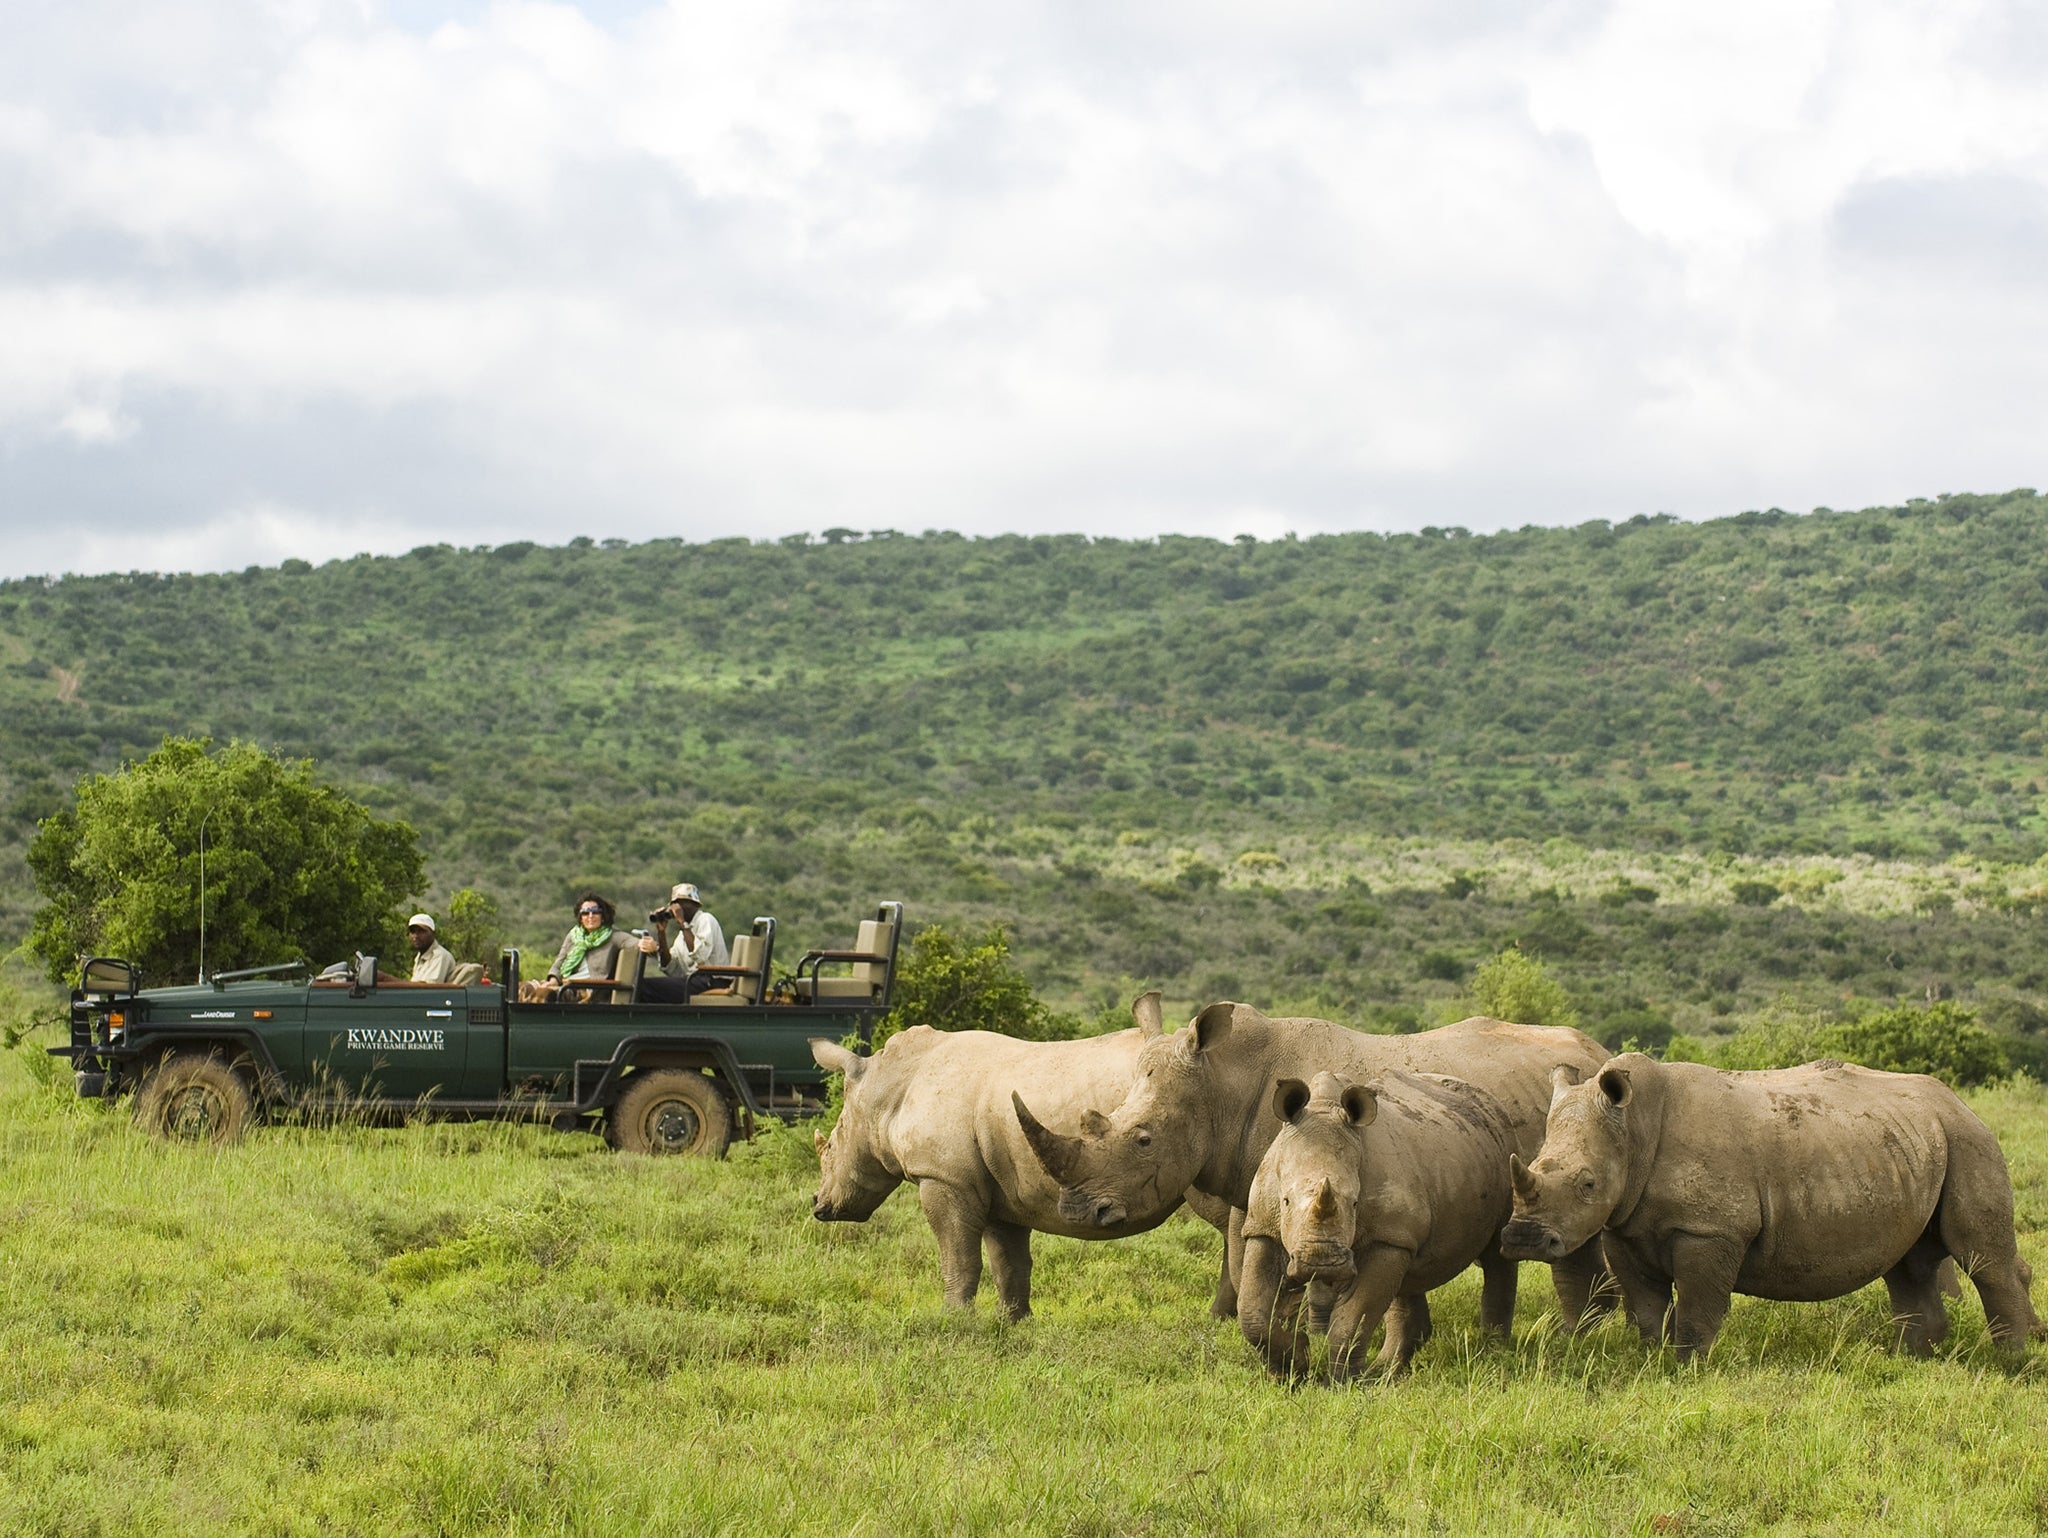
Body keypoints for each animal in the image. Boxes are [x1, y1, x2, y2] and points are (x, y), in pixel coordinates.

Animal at [1228, 1073, 1523, 1384]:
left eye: (1355, 1203)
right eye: (1285, 1201)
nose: (1321, 1262)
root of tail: (1488, 1100)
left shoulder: (1385, 1238)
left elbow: (1353, 1318)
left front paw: (1343, 1383)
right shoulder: (1262, 1226)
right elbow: (1252, 1312)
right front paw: (1291, 1370)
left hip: (1505, 1154)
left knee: (1497, 1255)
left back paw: (1492, 1355)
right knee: (1408, 1276)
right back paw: (1386, 1372)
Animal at [1499, 1056, 2039, 1359]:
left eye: (1588, 1184)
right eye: (1532, 1164)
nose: (1524, 1239)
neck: (1632, 1129)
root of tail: (1960, 1101)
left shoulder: (1711, 1228)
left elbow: (1696, 1306)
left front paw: (1686, 1366)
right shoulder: (1625, 1225)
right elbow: (1646, 1305)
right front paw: (1647, 1360)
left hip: (1968, 1139)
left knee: (1981, 1258)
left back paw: (2010, 1361)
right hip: (1916, 1142)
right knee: (1909, 1263)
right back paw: (1914, 1359)